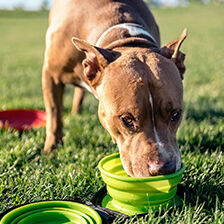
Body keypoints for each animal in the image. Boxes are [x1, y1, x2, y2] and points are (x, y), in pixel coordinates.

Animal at [41, 0, 186, 177]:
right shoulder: (50, 75)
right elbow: (54, 115)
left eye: (175, 115)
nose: (164, 168)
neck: (126, 40)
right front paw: (51, 150)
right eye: (127, 120)